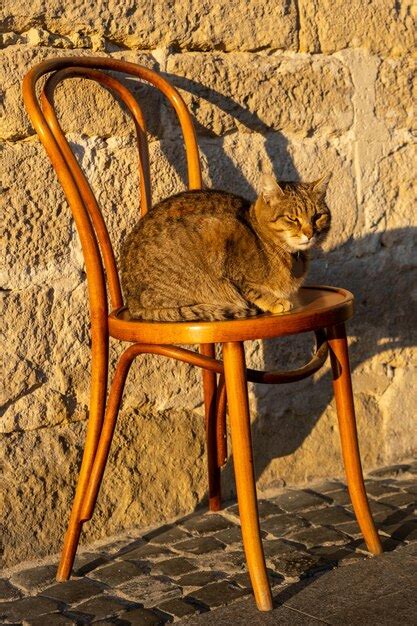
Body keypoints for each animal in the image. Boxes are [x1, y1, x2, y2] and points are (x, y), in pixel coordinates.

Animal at [120, 172, 332, 322]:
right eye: (292, 218)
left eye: (317, 216)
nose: (310, 233)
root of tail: (130, 301)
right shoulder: (228, 249)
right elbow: (250, 288)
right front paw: (274, 301)